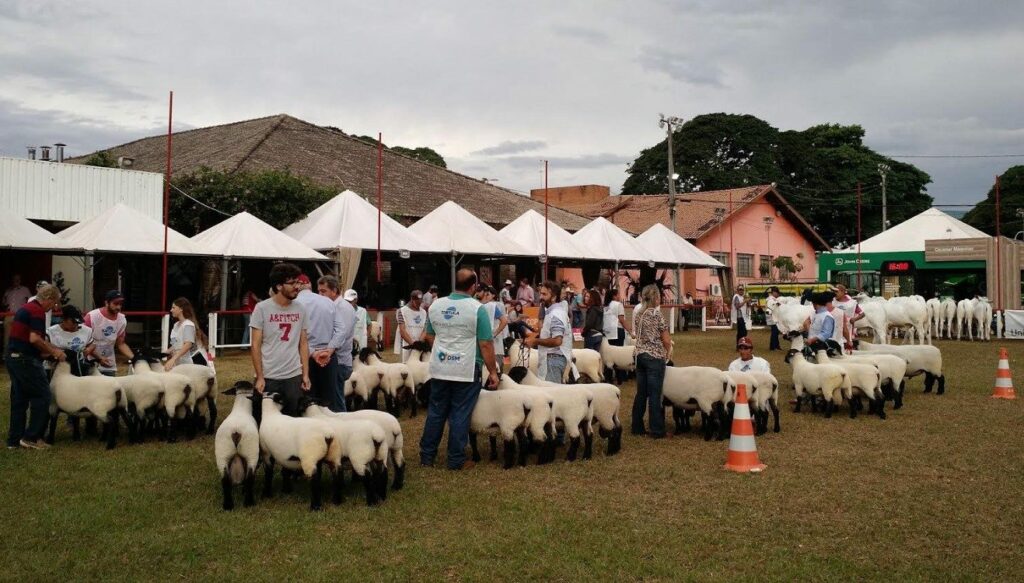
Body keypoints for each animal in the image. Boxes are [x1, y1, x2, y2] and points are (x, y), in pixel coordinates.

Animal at [211, 377, 258, 508]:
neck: (241, 409)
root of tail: (236, 431)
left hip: (222, 454)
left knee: (225, 480)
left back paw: (228, 505)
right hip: (251, 452)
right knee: (250, 478)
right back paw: (249, 502)